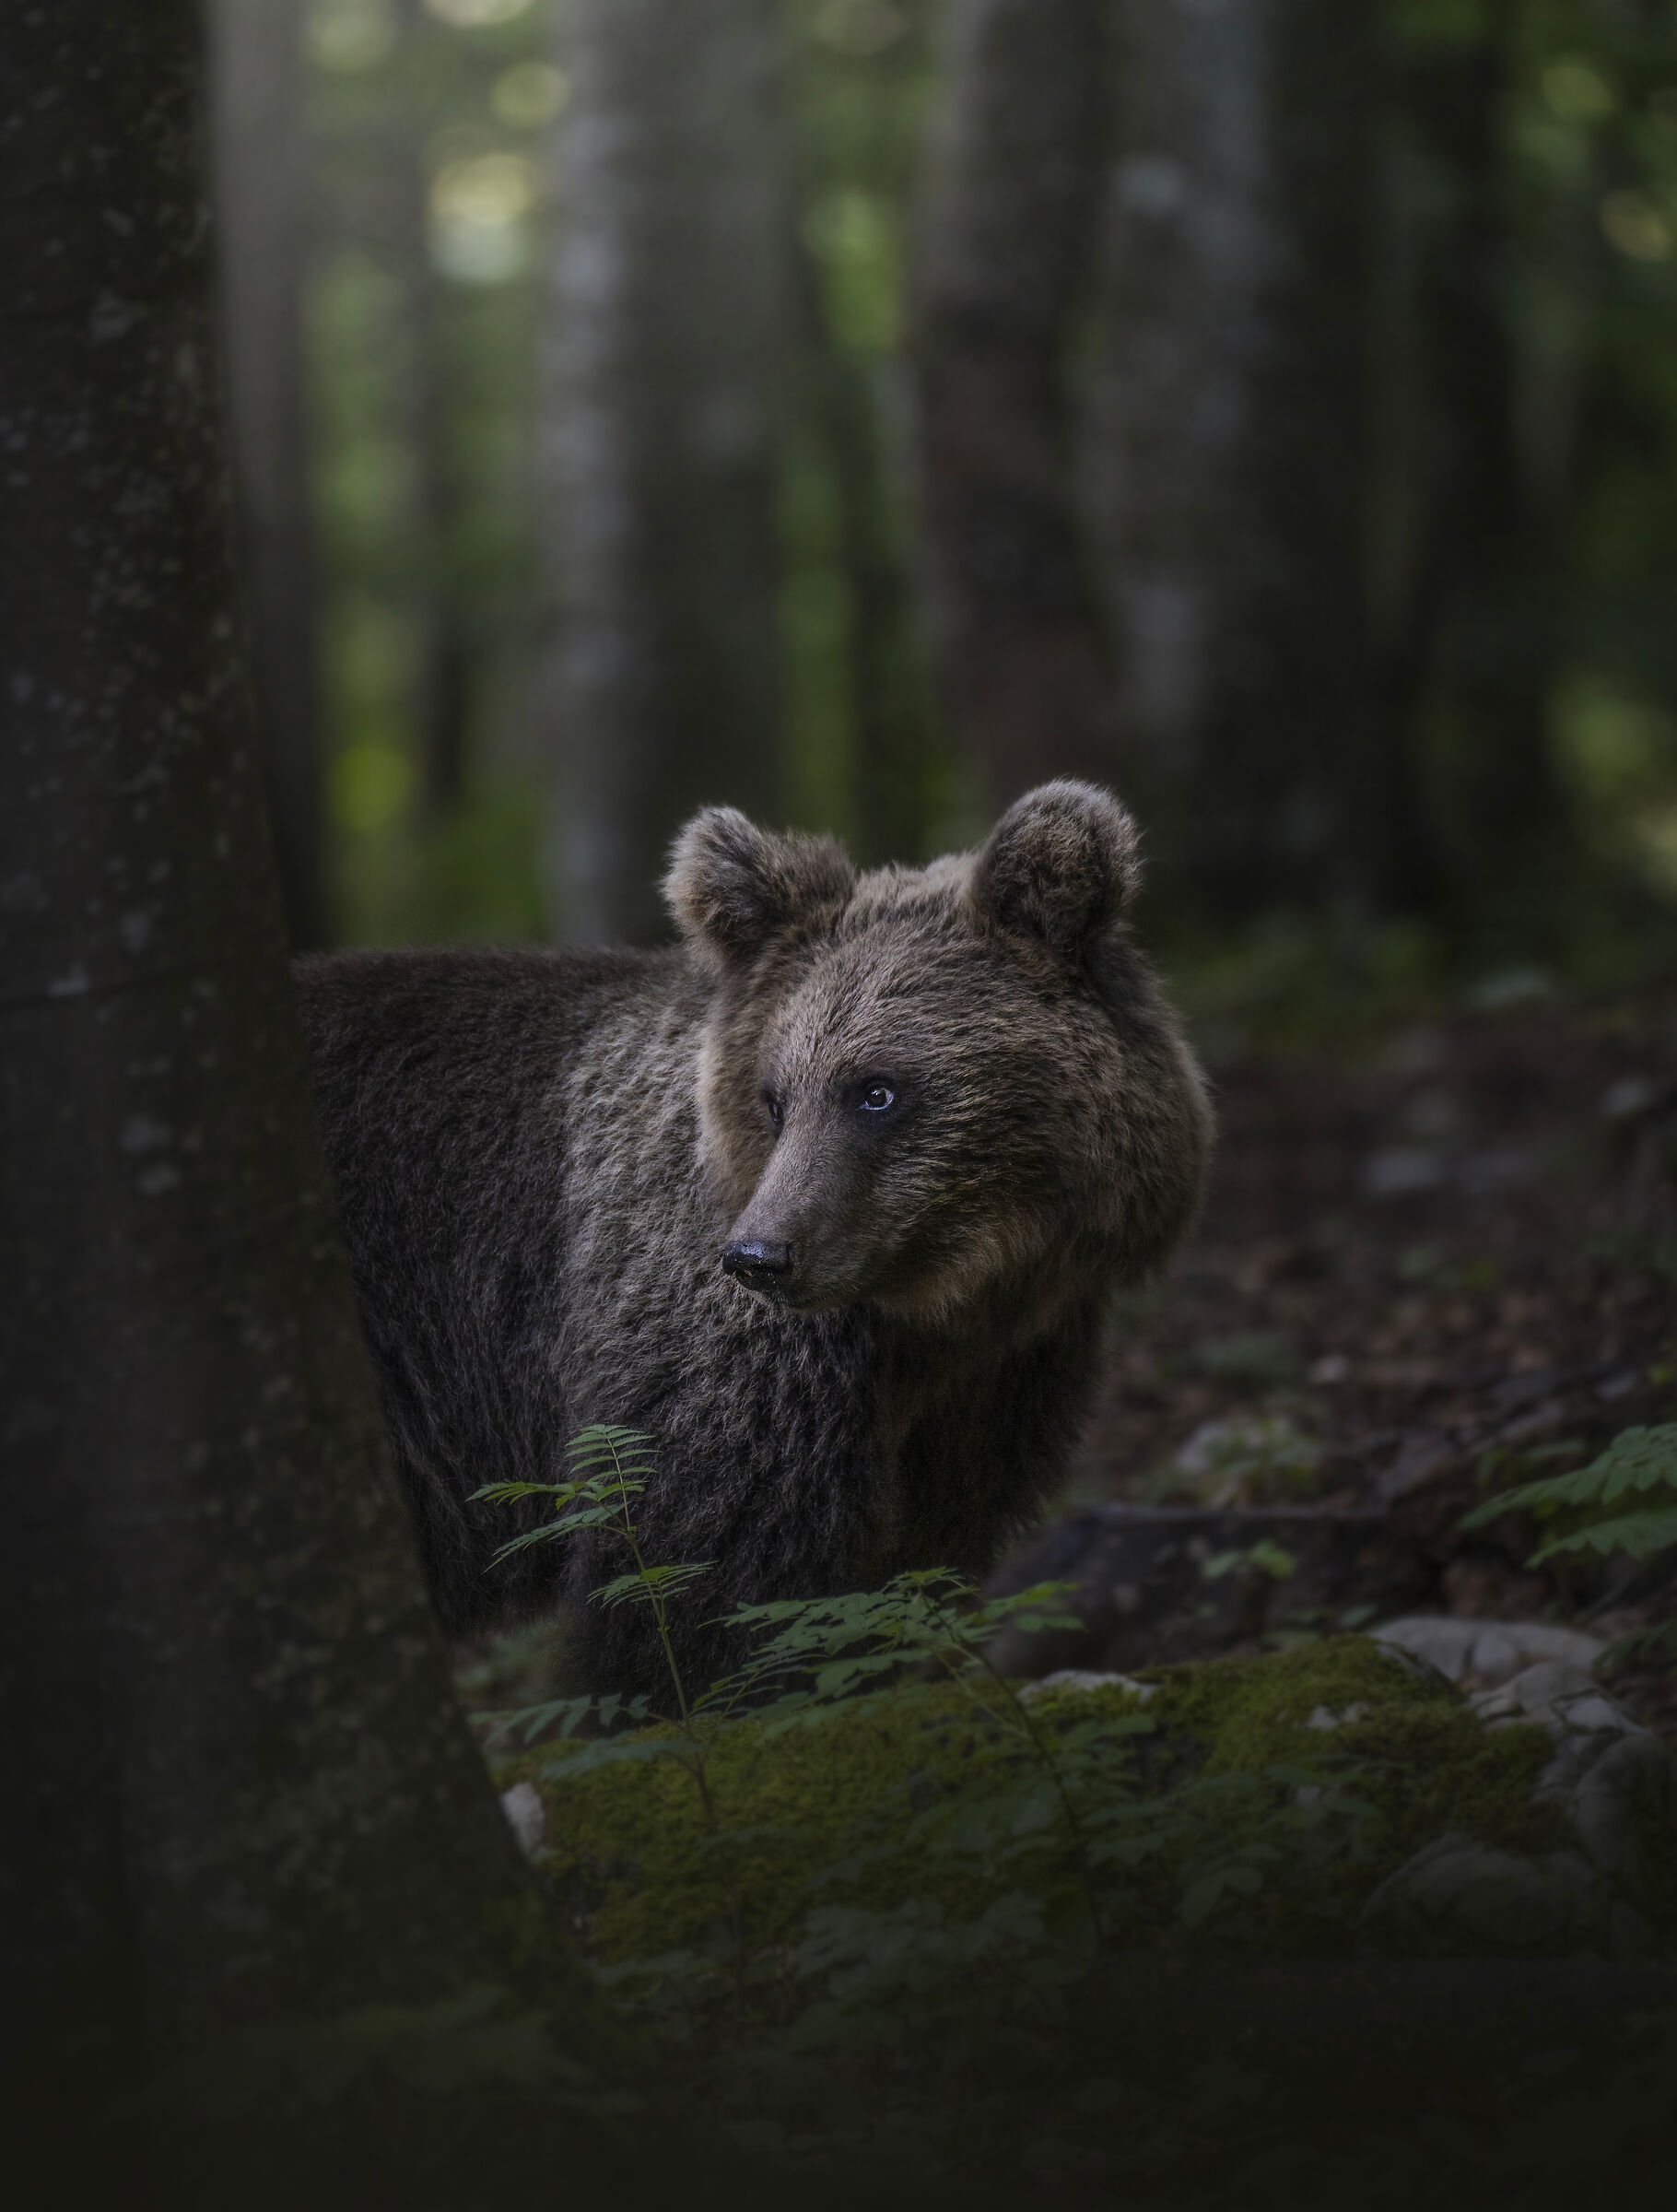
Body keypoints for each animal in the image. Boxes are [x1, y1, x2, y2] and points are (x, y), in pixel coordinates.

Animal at [296, 781, 1212, 1697]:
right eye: (776, 1098)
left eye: (876, 1090)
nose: (760, 1257)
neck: (943, 1310)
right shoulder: (722, 1371)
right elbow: (704, 1600)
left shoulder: (990, 1392)